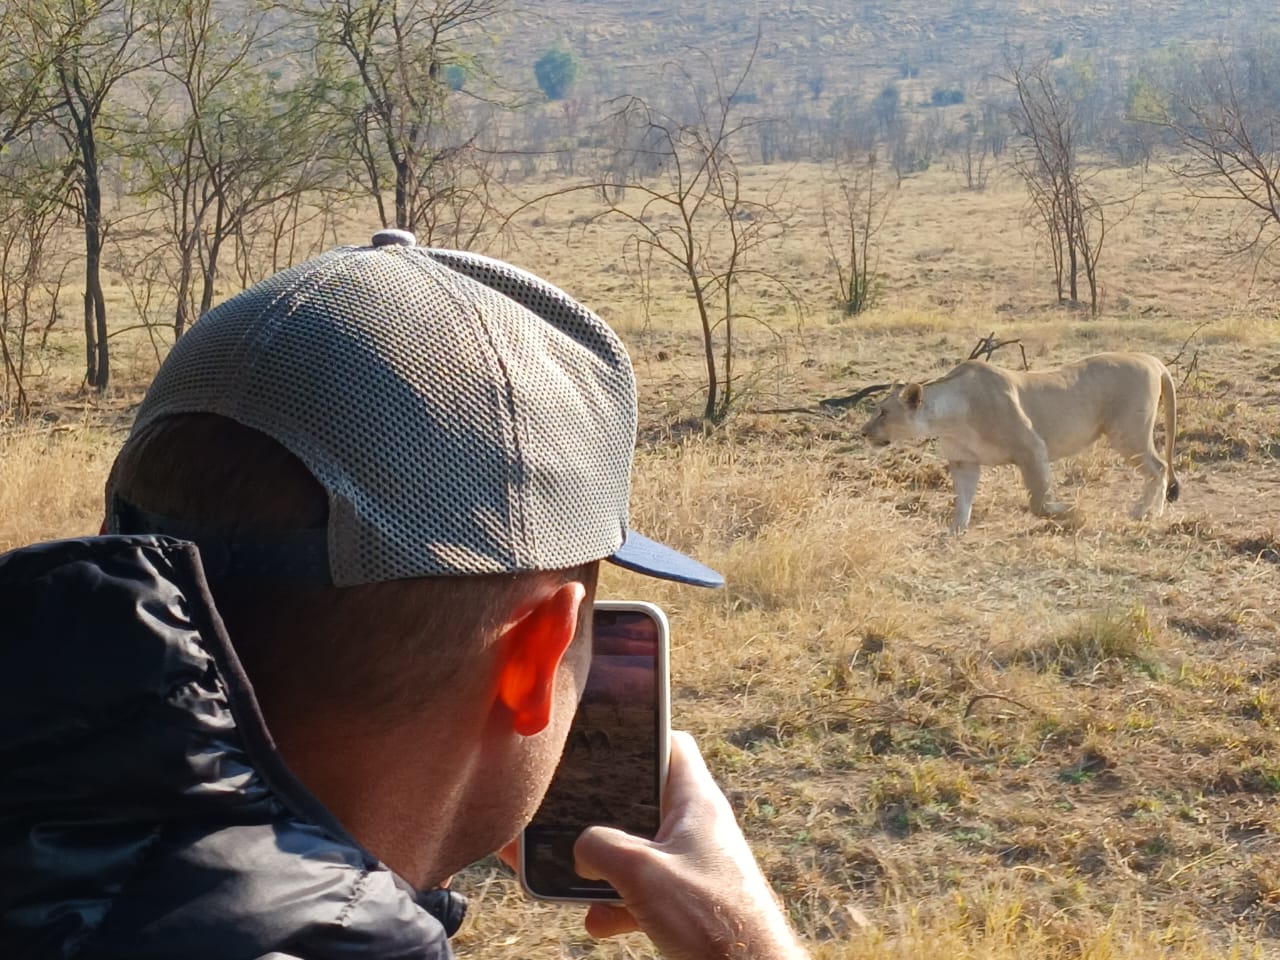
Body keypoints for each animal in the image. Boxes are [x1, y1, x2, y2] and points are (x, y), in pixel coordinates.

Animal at [860, 352, 1180, 532]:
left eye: (883, 412)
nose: (863, 432)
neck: (950, 419)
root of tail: (1152, 360)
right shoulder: (964, 462)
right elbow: (962, 501)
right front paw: (954, 531)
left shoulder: (1032, 448)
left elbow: (1039, 502)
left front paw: (1070, 510)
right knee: (1160, 468)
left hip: (1128, 433)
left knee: (1159, 467)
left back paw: (1147, 512)